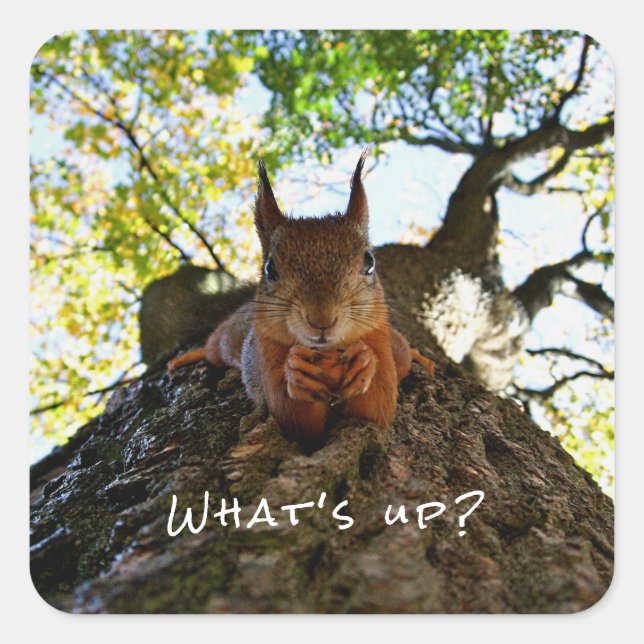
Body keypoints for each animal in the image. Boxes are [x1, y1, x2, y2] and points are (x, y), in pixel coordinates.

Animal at [167, 150, 434, 446]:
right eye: (270, 268)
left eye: (369, 262)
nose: (322, 319)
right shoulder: (266, 354)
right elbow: (294, 418)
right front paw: (297, 372)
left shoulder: (379, 339)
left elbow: (378, 407)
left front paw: (365, 361)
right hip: (228, 340)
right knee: (213, 347)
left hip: (397, 349)